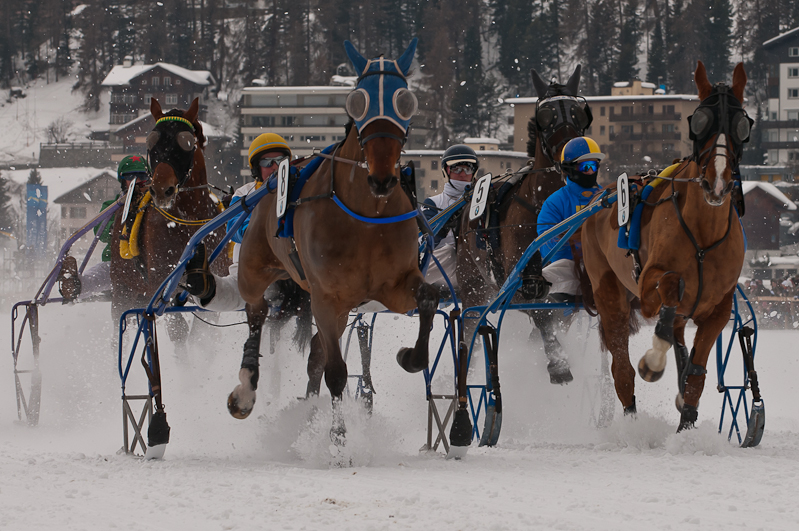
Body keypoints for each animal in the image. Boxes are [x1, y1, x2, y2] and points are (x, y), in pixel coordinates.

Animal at [109, 97, 228, 342]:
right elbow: (178, 330)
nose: (162, 189)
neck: (188, 220)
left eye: (187, 143)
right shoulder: (164, 286)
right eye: (150, 142)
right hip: (122, 285)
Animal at [227, 36, 438, 448]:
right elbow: (337, 372)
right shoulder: (327, 295)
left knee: (314, 351)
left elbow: (427, 297)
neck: (367, 214)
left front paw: (410, 356)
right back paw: (246, 388)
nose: (383, 177)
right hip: (255, 266)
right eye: (357, 100)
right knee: (257, 310)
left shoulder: (393, 286)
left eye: (406, 101)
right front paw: (338, 438)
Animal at [456, 66, 592, 384]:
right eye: (546, 116)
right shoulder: (518, 286)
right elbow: (541, 314)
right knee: (469, 329)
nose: (573, 154)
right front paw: (558, 363)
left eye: (580, 113)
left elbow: (558, 317)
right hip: (472, 283)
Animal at [580, 61, 752, 432]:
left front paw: (686, 425)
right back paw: (632, 423)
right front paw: (654, 360)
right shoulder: (647, 289)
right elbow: (672, 284)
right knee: (622, 369)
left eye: (742, 124)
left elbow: (696, 378)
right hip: (609, 291)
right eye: (699, 121)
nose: (718, 182)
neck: (703, 235)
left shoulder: (718, 309)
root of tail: (598, 199)